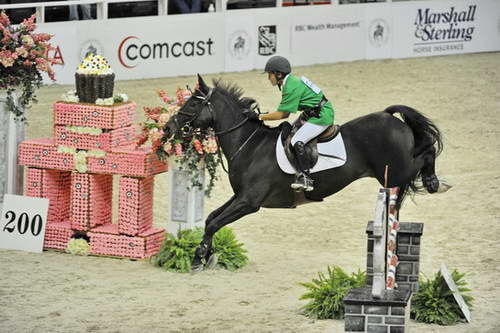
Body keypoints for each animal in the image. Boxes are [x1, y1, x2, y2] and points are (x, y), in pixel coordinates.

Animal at [164, 74, 446, 270]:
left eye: (192, 104)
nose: (168, 128)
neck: (248, 144)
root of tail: (390, 117)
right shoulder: (240, 196)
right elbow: (212, 218)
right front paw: (207, 254)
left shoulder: (249, 202)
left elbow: (215, 223)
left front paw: (199, 257)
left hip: (397, 171)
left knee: (428, 150)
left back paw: (434, 181)